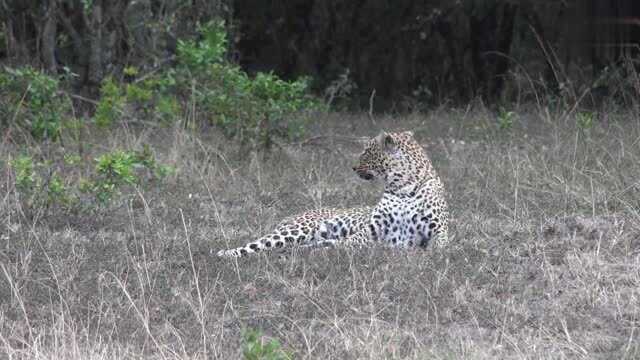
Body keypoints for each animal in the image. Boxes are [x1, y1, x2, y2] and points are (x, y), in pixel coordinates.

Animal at [215, 131, 450, 258]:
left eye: (367, 151)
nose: (353, 167)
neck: (402, 188)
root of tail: (290, 217)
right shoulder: (372, 230)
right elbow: (351, 242)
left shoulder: (439, 230)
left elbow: (441, 246)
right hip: (296, 231)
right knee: (255, 246)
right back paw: (224, 254)